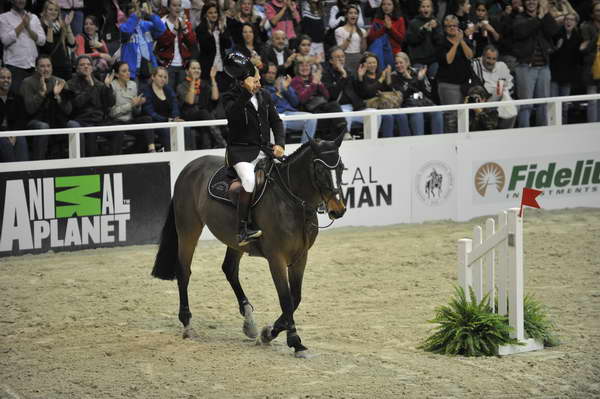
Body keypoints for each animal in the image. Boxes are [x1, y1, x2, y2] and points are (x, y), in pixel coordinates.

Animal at [150, 133, 346, 358]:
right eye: (320, 170)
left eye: (341, 167)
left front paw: (269, 333)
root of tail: (190, 167)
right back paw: (187, 324)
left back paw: (249, 321)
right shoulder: (276, 258)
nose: (338, 210)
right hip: (188, 229)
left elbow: (295, 298)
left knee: (229, 270)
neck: (292, 202)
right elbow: (286, 299)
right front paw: (295, 342)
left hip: (235, 241)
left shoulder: (300, 257)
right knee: (184, 271)